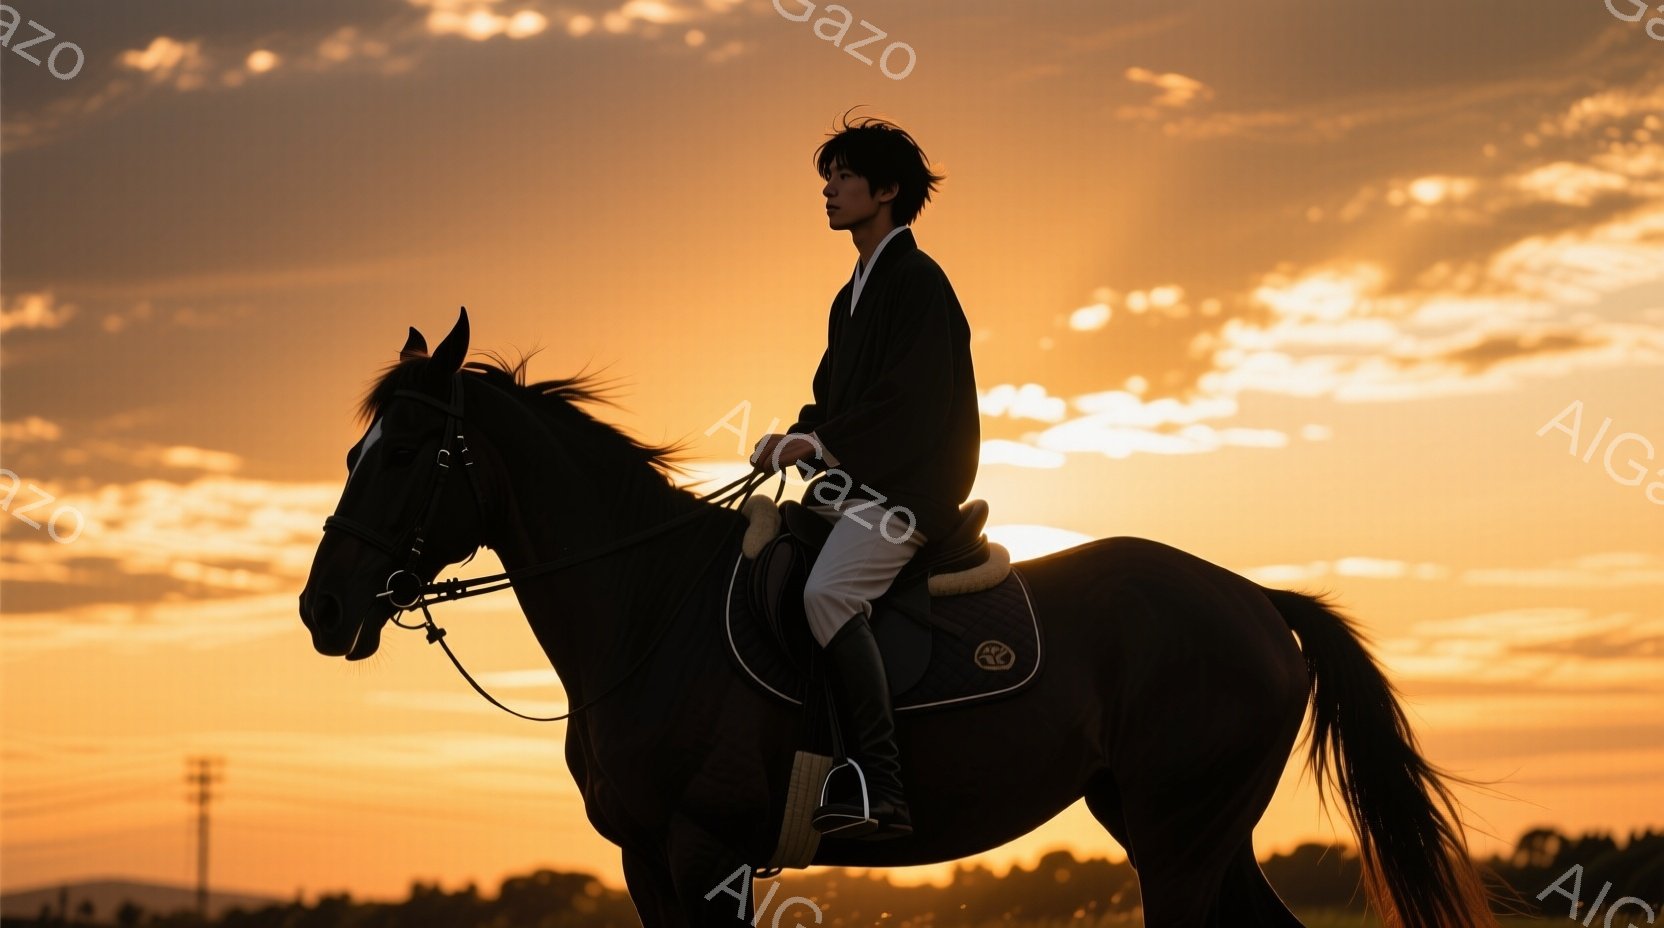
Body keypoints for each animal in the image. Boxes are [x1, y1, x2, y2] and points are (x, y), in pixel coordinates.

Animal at [299, 309, 1499, 927]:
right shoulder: (649, 862)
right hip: (1183, 826)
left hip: (1177, 838)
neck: (648, 616)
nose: (321, 608)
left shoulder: (702, 853)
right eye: (357, 447)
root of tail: (1255, 600)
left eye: (404, 454)